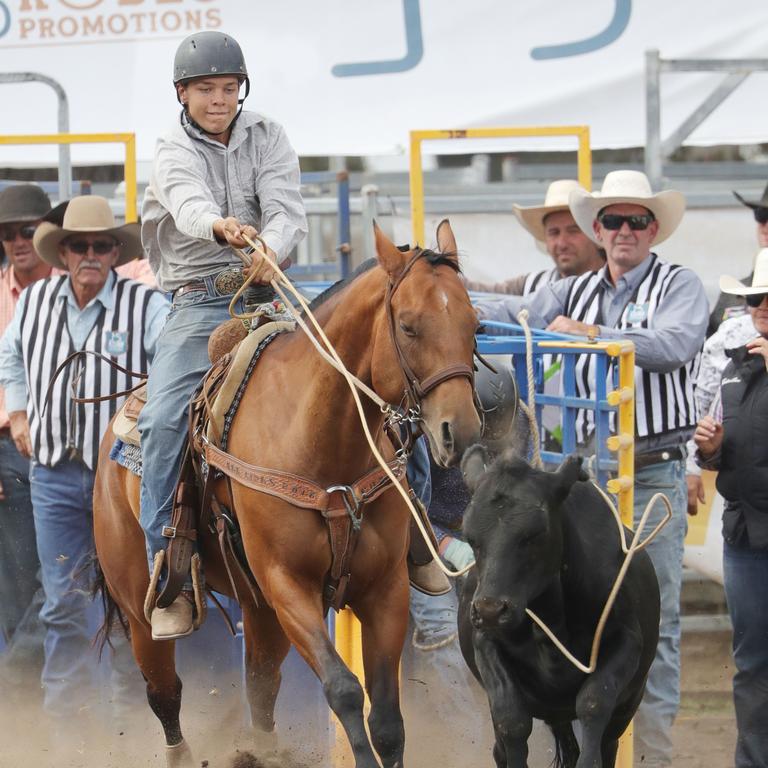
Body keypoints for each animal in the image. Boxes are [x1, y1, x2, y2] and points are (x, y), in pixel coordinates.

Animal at [93, 219, 480, 764]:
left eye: (476, 325)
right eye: (408, 326)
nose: (460, 433)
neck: (321, 440)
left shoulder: (385, 589)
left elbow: (387, 719)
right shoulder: (287, 586)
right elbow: (344, 689)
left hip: (257, 607)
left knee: (260, 685)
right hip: (139, 604)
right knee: (165, 694)